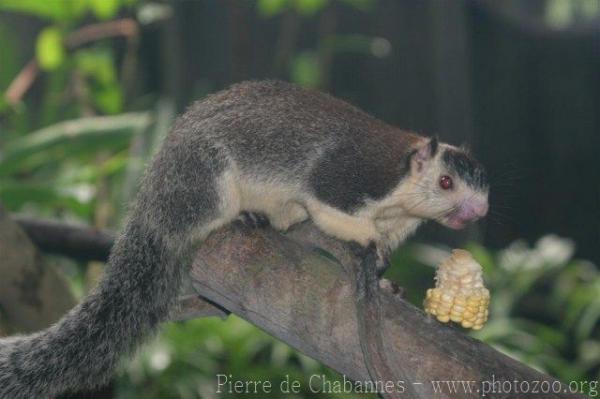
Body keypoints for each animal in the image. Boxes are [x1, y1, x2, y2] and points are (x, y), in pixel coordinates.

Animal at [0, 79, 488, 398]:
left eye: (484, 190)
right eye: (446, 183)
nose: (479, 211)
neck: (400, 202)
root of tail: (151, 194)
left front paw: (385, 280)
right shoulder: (346, 180)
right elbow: (335, 212)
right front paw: (366, 254)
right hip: (204, 180)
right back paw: (241, 218)